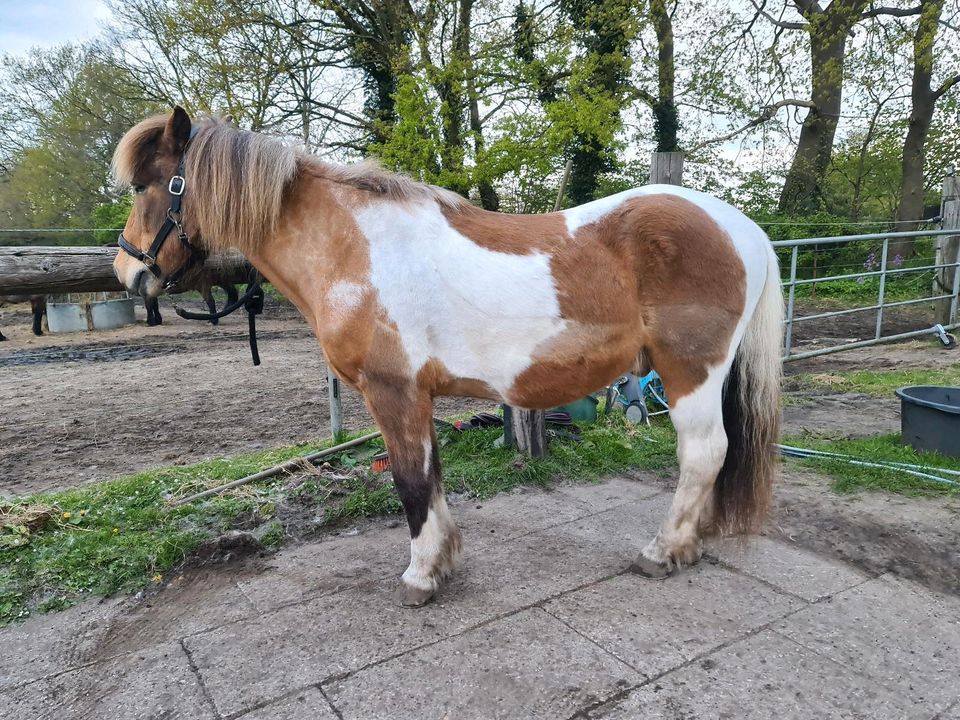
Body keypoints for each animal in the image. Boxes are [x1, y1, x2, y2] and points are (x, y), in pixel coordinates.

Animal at [112, 108, 784, 608]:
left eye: (145, 186)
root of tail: (743, 229)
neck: (352, 248)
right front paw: (441, 562)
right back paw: (688, 545)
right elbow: (430, 478)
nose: (127, 272)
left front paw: (419, 578)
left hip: (690, 372)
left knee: (703, 453)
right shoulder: (418, 397)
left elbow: (410, 483)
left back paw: (662, 552)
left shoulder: (392, 391)